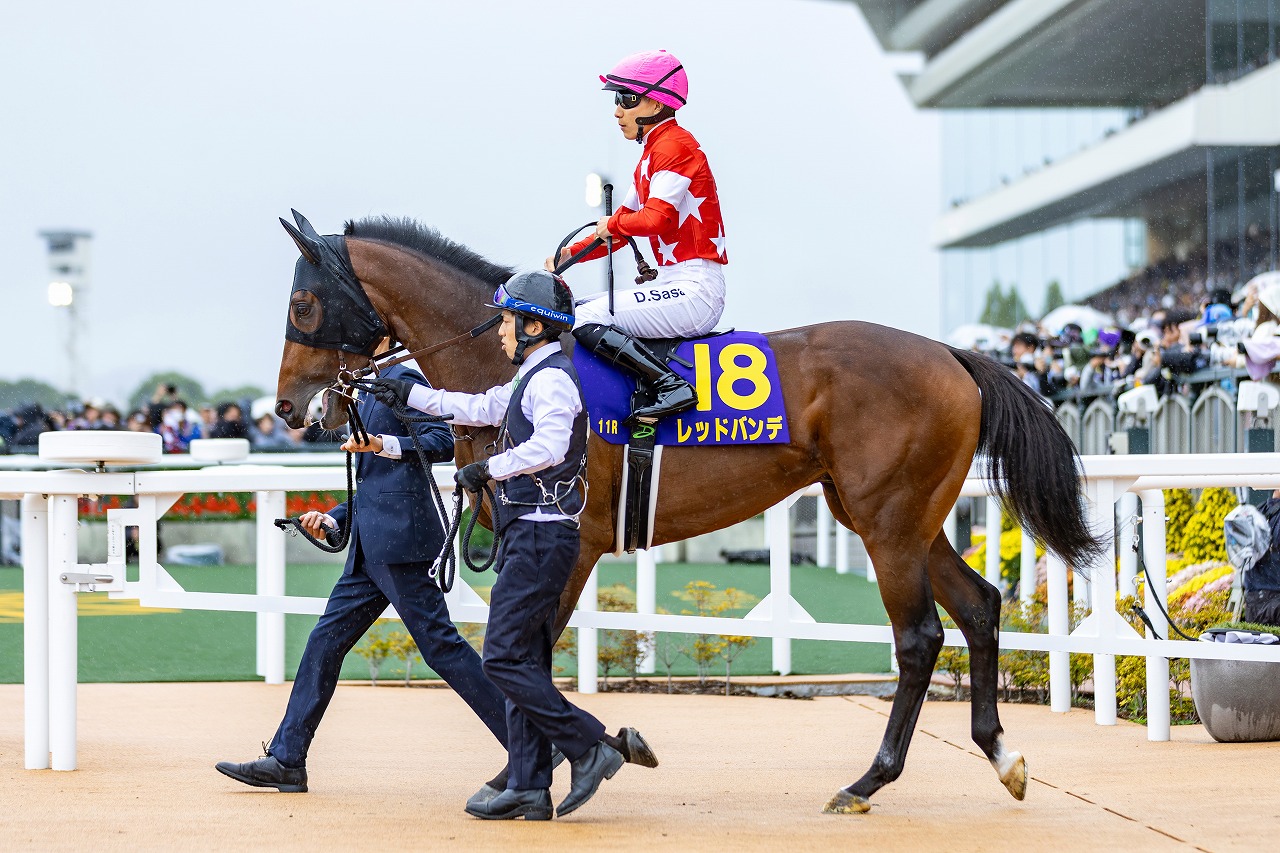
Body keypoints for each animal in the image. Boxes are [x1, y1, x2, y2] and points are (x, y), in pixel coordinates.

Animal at [273, 213, 1102, 814]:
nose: (288, 407)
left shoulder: (570, 541)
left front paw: (543, 773)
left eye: (302, 303)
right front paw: (549, 766)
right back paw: (1001, 755)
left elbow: (526, 656)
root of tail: (952, 354)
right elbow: (519, 659)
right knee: (981, 605)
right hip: (902, 518)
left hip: (890, 524)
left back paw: (868, 779)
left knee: (921, 637)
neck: (507, 364)